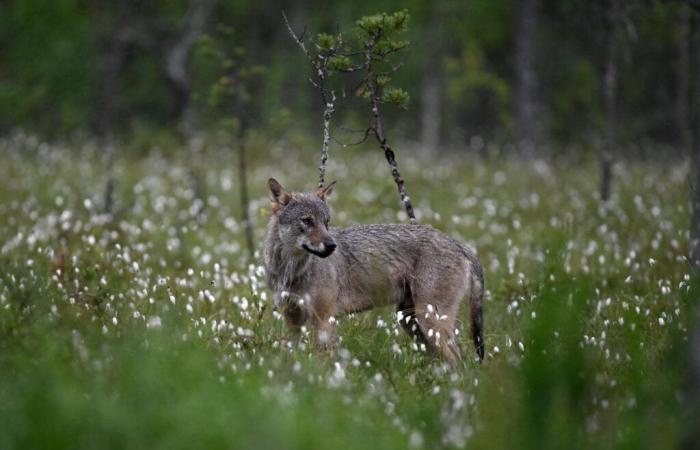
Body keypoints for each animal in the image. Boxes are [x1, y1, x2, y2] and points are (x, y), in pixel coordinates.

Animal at [262, 178, 486, 364]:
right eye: (307, 221)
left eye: (326, 223)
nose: (332, 245)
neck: (290, 270)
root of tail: (459, 244)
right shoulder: (293, 321)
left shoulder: (324, 320)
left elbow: (322, 362)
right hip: (412, 324)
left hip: (429, 324)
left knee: (460, 363)